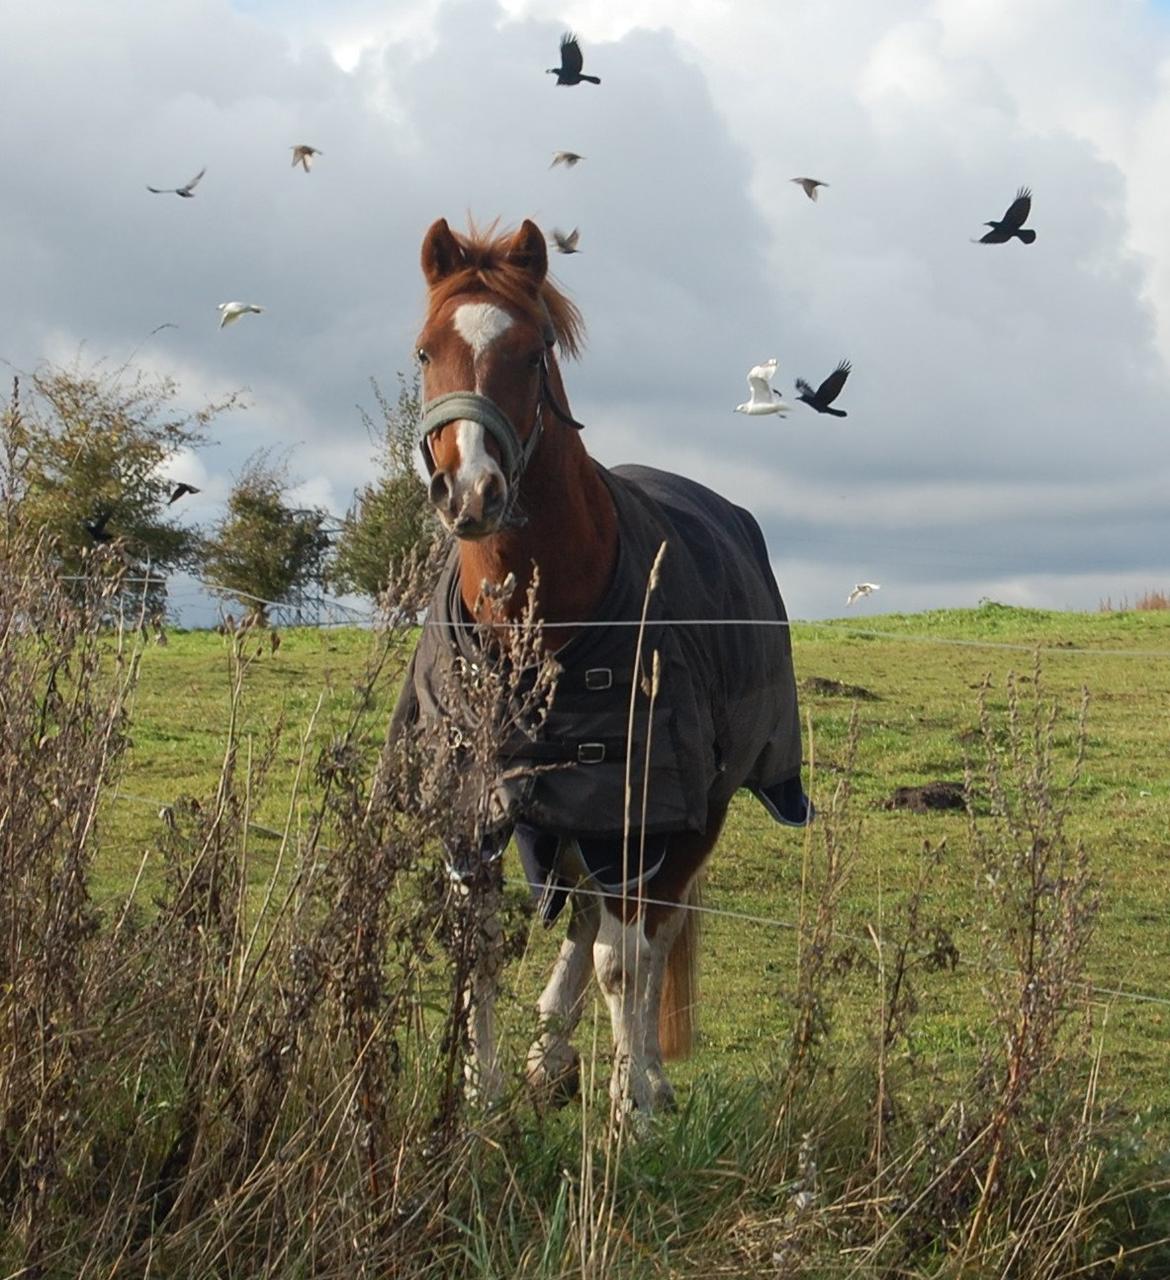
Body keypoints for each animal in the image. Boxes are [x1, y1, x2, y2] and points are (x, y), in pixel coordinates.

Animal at [386, 217, 809, 1111]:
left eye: (532, 350)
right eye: (425, 350)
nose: (470, 491)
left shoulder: (641, 809)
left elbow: (628, 965)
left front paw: (632, 1108)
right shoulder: (474, 807)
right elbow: (479, 946)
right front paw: (481, 1095)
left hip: (691, 817)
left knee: (652, 937)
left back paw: (641, 1071)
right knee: (587, 920)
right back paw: (550, 1056)